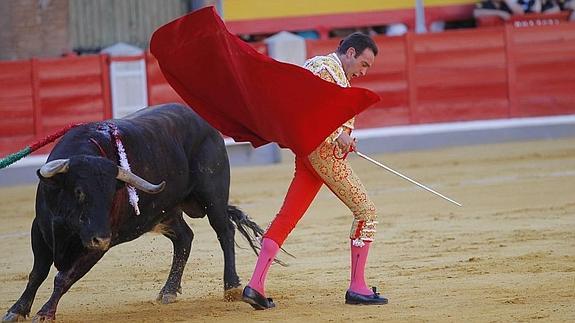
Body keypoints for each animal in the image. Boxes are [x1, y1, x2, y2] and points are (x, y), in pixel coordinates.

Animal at [2, 104, 266, 323]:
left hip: (213, 197)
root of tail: (205, 123)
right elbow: (37, 273)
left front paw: (45, 313)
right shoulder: (39, 229)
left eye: (112, 194)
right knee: (185, 237)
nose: (102, 238)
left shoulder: (96, 247)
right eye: (79, 192)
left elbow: (63, 277)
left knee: (224, 231)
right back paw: (169, 290)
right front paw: (16, 310)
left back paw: (231, 287)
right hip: (164, 212)